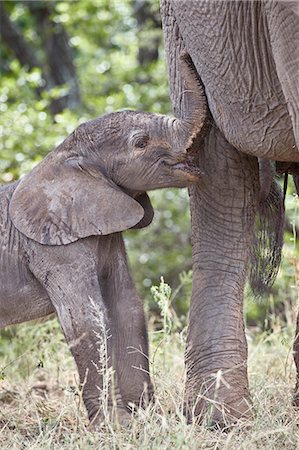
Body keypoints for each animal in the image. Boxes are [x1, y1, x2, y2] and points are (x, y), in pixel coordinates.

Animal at [0, 54, 209, 424]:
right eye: (140, 143)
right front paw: (113, 424)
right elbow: (87, 318)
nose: (185, 56)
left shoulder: (106, 229)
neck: (66, 154)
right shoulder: (53, 248)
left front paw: (143, 419)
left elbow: (126, 308)